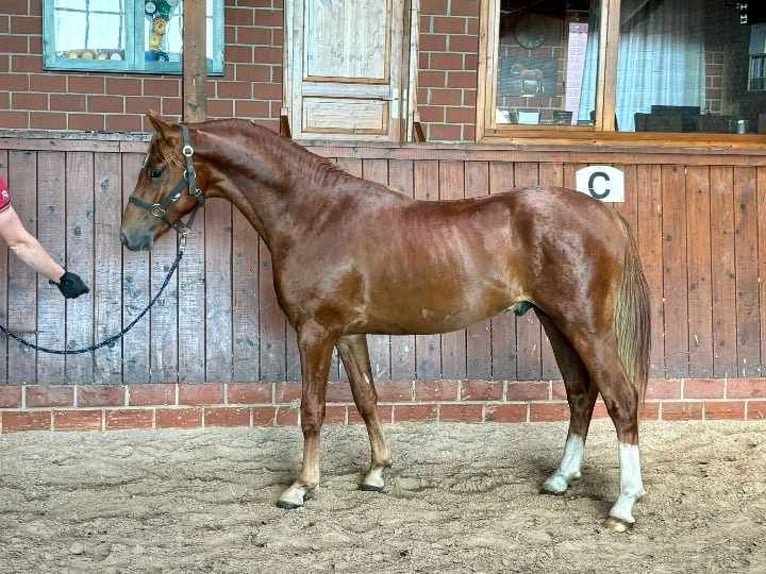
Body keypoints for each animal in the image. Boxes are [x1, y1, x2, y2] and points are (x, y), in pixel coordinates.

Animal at [123, 112, 652, 536]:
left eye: (155, 169)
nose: (129, 236)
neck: (315, 216)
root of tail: (605, 214)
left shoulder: (315, 333)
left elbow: (312, 409)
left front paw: (301, 486)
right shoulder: (347, 333)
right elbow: (366, 397)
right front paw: (376, 472)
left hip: (585, 325)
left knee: (620, 398)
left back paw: (623, 505)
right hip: (555, 322)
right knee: (581, 394)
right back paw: (560, 479)